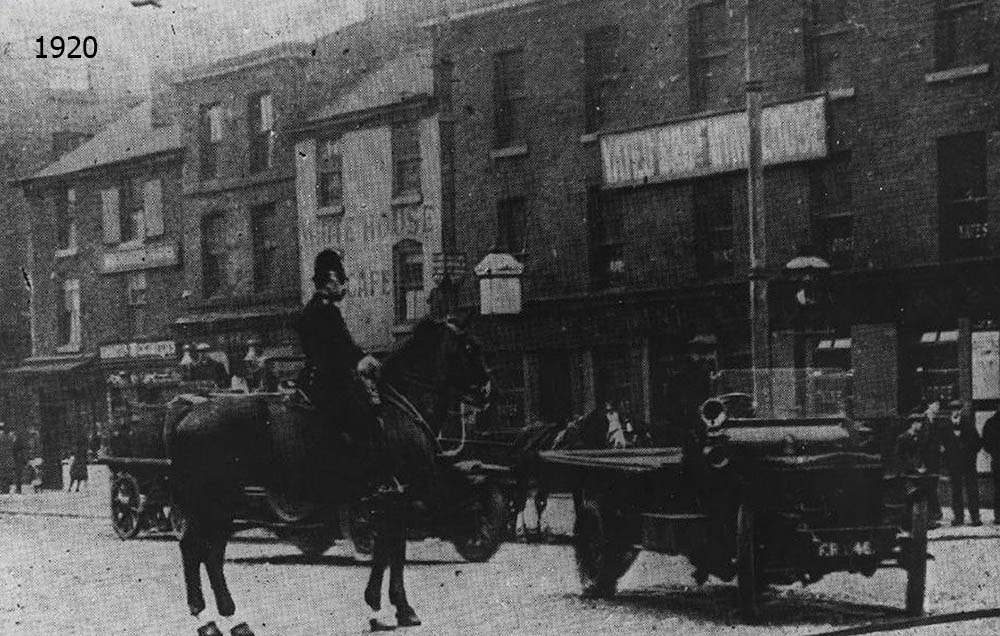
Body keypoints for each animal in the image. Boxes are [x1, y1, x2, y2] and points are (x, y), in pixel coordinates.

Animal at [164, 320, 492, 636]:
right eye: (469, 346)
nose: (487, 391)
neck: (399, 407)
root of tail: (189, 411)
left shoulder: (388, 498)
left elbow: (387, 549)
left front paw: (382, 608)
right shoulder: (397, 496)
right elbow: (393, 550)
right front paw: (395, 608)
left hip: (219, 503)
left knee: (208, 552)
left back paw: (228, 621)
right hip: (217, 500)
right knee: (197, 549)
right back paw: (212, 619)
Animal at [512, 402, 628, 540]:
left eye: (620, 419)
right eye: (605, 420)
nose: (620, 443)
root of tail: (523, 432)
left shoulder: (585, 483)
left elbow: (585, 505)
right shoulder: (578, 483)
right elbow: (583, 505)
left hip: (544, 478)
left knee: (539, 501)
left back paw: (543, 531)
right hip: (523, 476)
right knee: (521, 500)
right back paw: (521, 531)